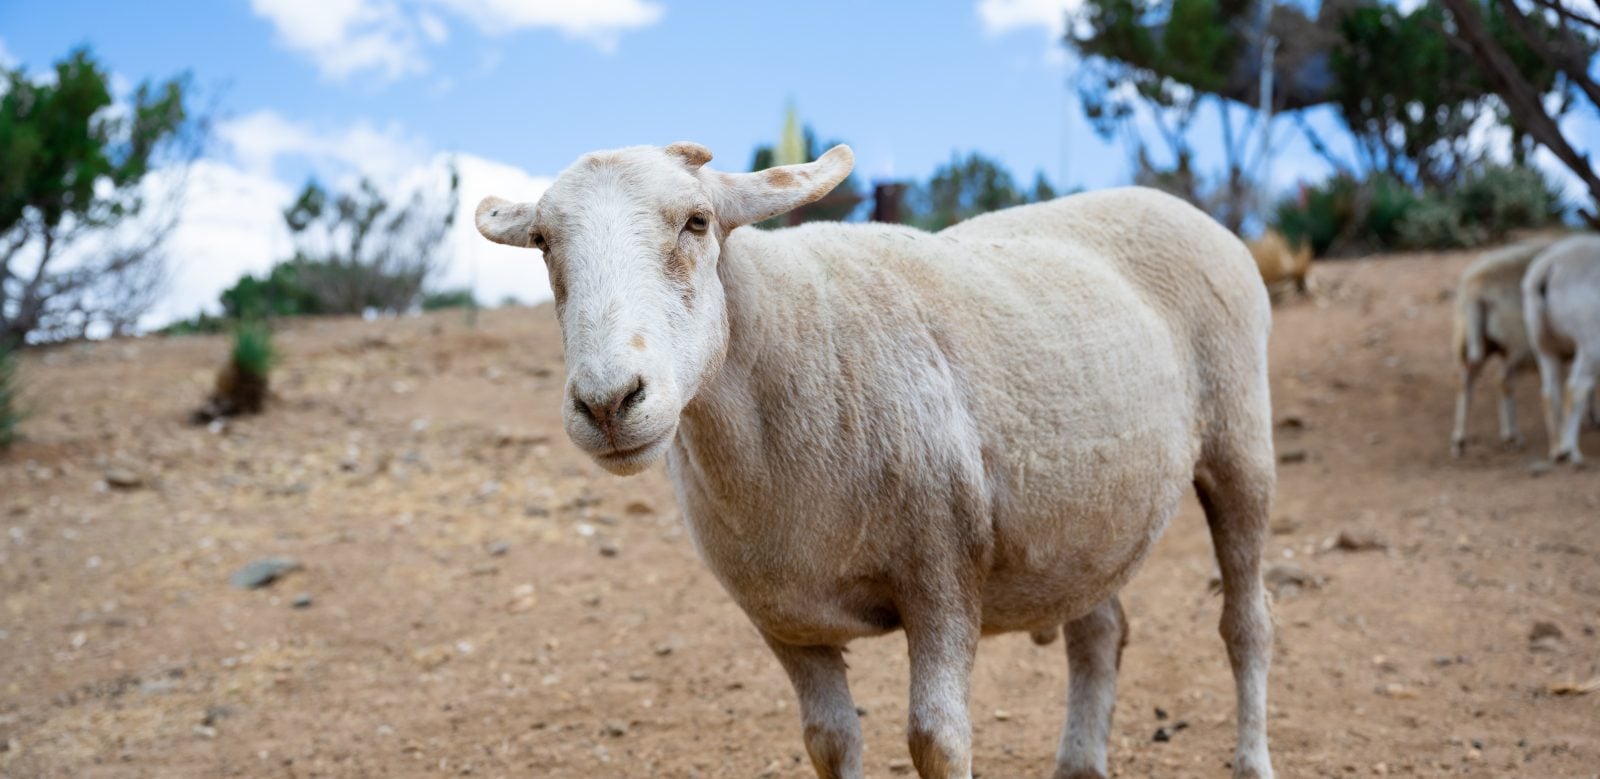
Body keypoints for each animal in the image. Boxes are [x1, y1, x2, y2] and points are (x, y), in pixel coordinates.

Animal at [475, 142, 1277, 779]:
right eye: (543, 241)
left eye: (697, 222)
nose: (608, 402)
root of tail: (1166, 200)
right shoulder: (783, 618)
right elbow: (829, 741)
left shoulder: (944, 571)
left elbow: (937, 741)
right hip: (1084, 518)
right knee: (1098, 631)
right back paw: (1080, 764)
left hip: (1242, 446)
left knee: (1246, 625)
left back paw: (1252, 760)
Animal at [1448, 239, 1557, 457]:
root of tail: (1474, 290)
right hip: (1520, 343)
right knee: (1503, 380)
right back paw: (1512, 436)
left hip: (1474, 340)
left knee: (1465, 380)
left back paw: (1459, 441)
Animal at [1522, 235, 1600, 464]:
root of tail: (1550, 267)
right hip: (1590, 342)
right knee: (1575, 388)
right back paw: (1570, 450)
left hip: (1543, 345)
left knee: (1550, 392)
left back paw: (1557, 449)